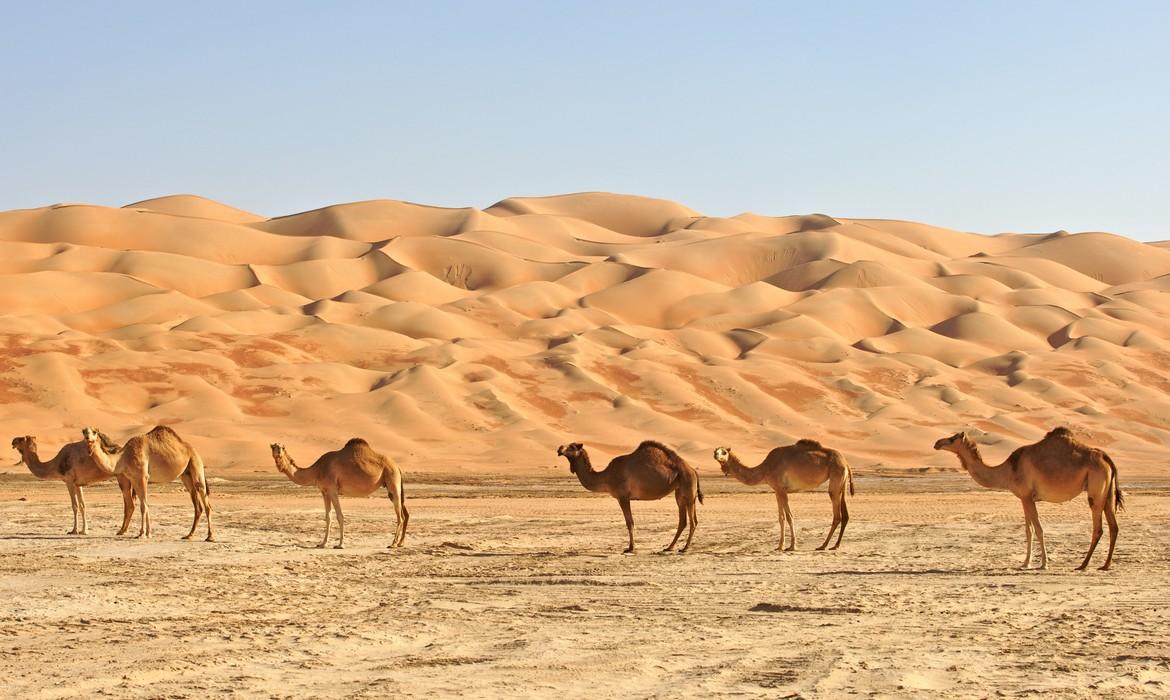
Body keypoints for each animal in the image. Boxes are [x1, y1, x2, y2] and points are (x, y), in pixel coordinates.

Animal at [81, 421, 214, 543]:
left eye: (94, 432)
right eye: (84, 432)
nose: (88, 438)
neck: (123, 458)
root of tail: (194, 451)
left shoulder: (142, 477)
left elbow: (143, 506)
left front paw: (141, 534)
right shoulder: (134, 479)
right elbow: (145, 504)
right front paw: (148, 533)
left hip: (196, 465)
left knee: (206, 503)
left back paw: (210, 537)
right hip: (186, 475)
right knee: (197, 505)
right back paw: (189, 535)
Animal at [267, 442, 407, 552]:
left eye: (282, 447)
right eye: (273, 447)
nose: (277, 452)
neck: (317, 469)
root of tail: (397, 466)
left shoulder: (333, 490)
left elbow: (340, 516)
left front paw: (340, 544)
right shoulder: (324, 492)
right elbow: (328, 517)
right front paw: (322, 543)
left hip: (392, 479)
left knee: (399, 515)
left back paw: (393, 544)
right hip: (390, 487)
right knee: (404, 514)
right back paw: (400, 543)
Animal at [552, 442, 697, 557]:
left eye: (572, 446)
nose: (559, 449)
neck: (607, 476)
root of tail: (692, 470)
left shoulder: (623, 497)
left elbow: (629, 522)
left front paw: (630, 548)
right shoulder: (622, 498)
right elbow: (630, 522)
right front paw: (631, 547)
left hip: (688, 488)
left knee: (692, 521)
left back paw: (684, 548)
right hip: (681, 493)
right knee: (684, 520)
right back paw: (669, 547)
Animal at [706, 444, 856, 554]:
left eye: (724, 452)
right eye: (715, 450)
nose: (715, 454)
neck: (765, 469)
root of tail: (846, 462)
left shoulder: (782, 490)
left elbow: (789, 516)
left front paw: (792, 546)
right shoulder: (777, 491)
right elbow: (781, 517)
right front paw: (780, 546)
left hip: (835, 480)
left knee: (837, 515)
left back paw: (823, 545)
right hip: (841, 483)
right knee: (845, 515)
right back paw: (835, 545)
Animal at [931, 428, 1123, 571]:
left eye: (952, 438)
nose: (937, 443)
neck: (1007, 470)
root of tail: (1106, 458)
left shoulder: (1026, 496)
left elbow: (1038, 529)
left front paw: (1044, 564)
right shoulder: (1024, 498)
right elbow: (1028, 530)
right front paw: (1025, 563)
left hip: (1095, 490)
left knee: (1098, 528)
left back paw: (1083, 565)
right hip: (1108, 493)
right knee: (1114, 526)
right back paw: (1105, 565)